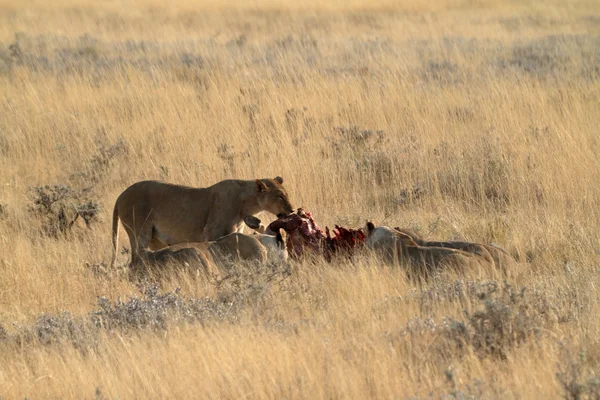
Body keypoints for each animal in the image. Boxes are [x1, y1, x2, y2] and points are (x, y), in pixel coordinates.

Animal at [111, 177, 294, 268]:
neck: (245, 203)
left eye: (286, 194)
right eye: (280, 196)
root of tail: (120, 196)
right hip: (139, 232)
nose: (292, 210)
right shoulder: (213, 233)